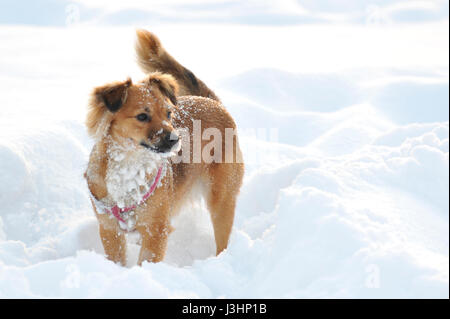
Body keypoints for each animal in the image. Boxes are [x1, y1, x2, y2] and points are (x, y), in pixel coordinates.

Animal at [85, 30, 246, 266]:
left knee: (222, 240)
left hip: (222, 199)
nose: (175, 139)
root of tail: (212, 102)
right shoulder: (109, 229)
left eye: (169, 114)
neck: (130, 166)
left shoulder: (156, 230)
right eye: (142, 116)